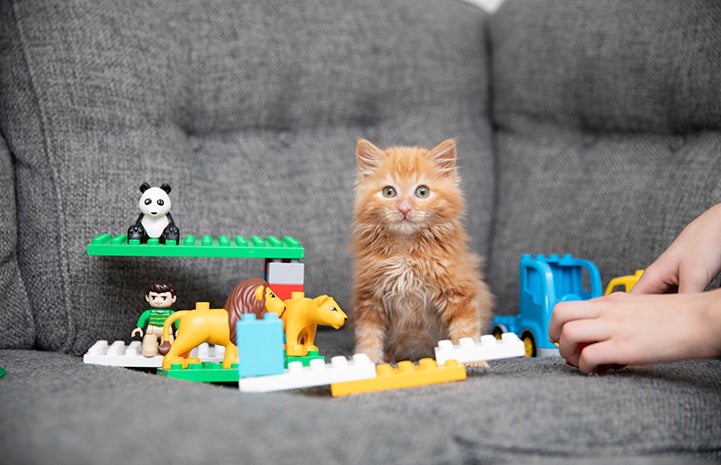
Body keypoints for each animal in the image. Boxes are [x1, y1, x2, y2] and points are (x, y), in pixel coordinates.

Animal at [350, 138, 496, 362]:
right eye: (389, 192)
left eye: (422, 192)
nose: (404, 209)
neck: (406, 251)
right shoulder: (369, 298)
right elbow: (368, 336)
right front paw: (369, 362)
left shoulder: (459, 293)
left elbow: (465, 332)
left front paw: (473, 362)